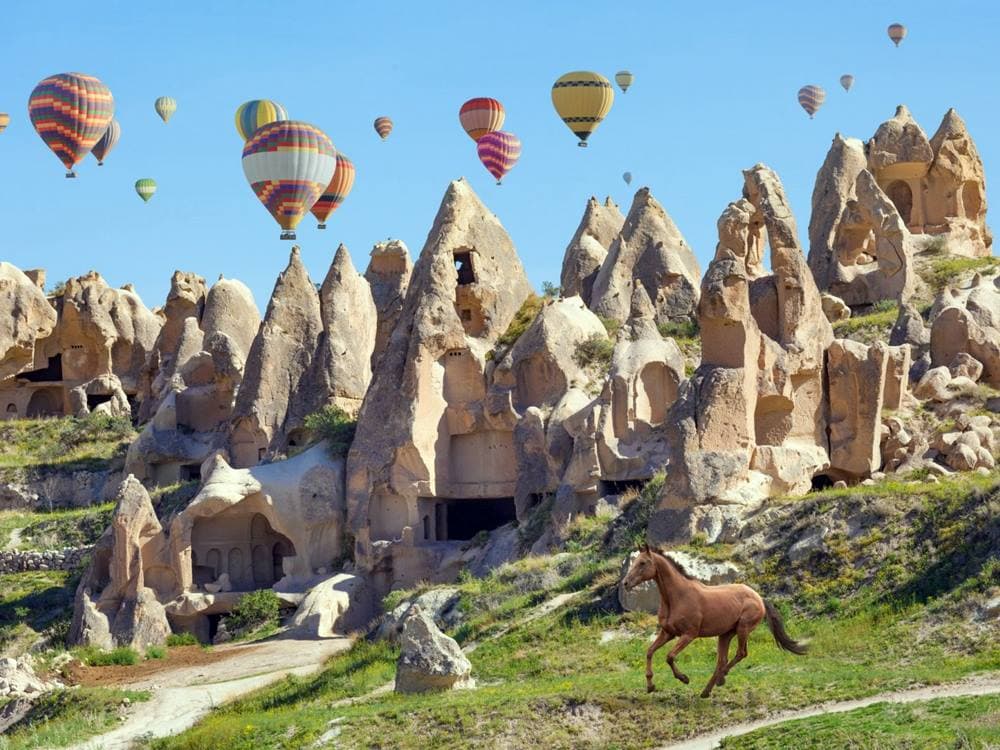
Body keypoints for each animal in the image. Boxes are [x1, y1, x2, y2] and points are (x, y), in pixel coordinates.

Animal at [622, 544, 807, 698]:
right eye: (635, 562)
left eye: (643, 563)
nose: (625, 583)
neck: (677, 597)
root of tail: (759, 598)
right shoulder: (668, 633)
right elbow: (649, 652)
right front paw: (650, 686)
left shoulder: (689, 634)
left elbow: (669, 656)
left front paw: (684, 678)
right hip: (725, 634)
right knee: (722, 660)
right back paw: (707, 690)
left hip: (742, 629)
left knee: (741, 653)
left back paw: (720, 679)